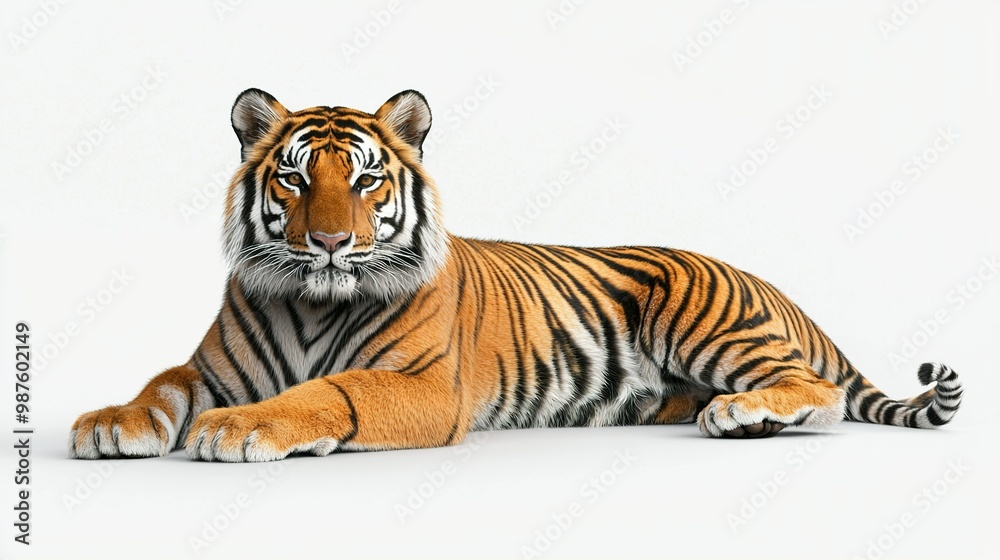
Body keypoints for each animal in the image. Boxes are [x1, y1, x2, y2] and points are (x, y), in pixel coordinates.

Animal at [69, 89, 963, 462]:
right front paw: (110, 423)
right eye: (292, 179)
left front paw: (244, 429)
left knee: (817, 388)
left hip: (707, 320)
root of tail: (769, 281)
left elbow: (329, 391)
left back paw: (742, 416)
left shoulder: (428, 385)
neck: (313, 302)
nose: (326, 241)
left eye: (365, 181)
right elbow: (163, 385)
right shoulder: (212, 368)